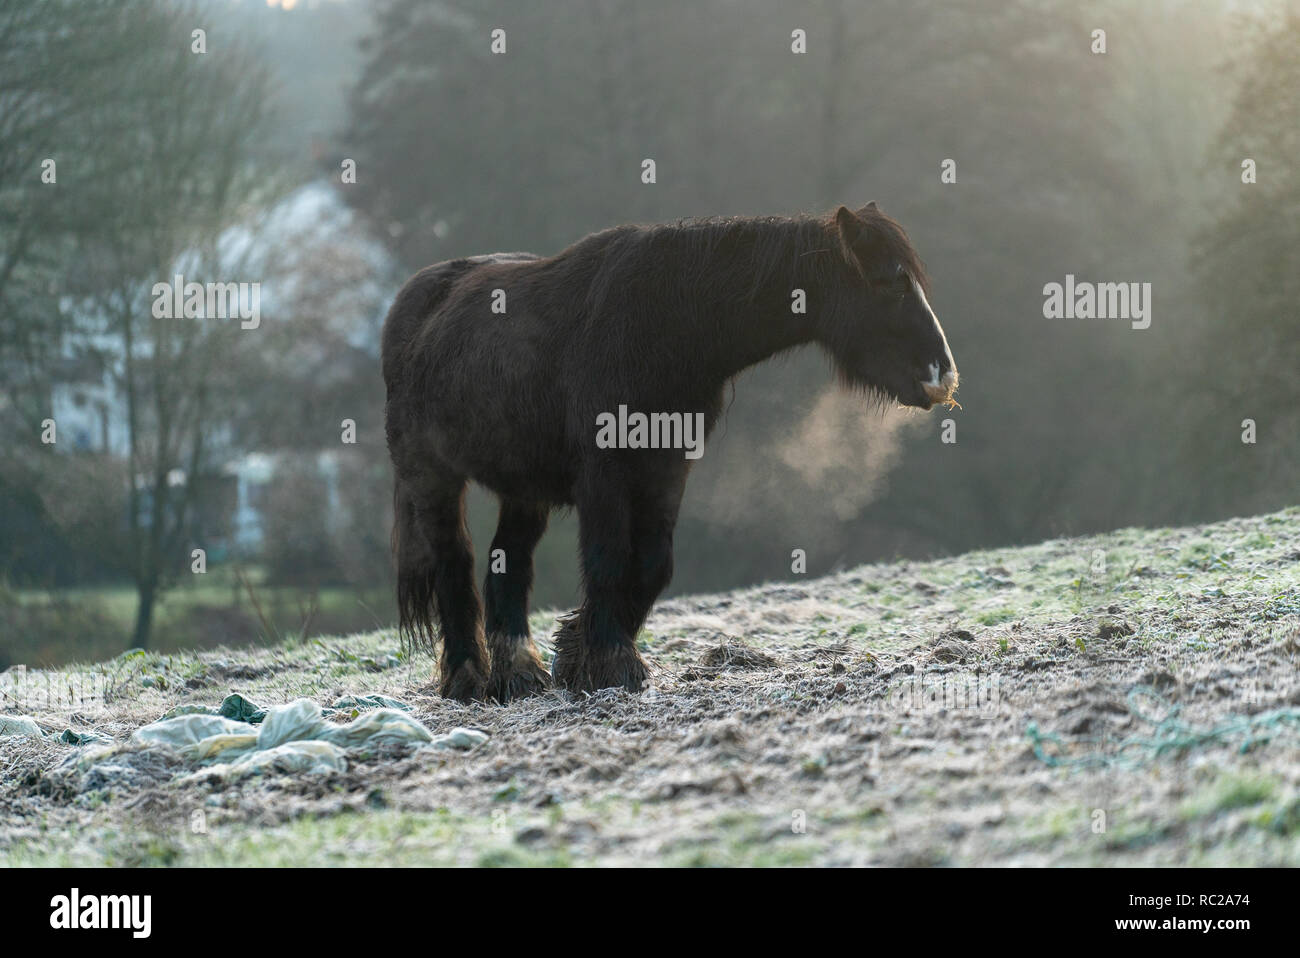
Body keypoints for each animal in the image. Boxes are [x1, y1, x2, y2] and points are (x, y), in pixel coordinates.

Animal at [379, 201, 961, 696]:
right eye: (889, 285)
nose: (942, 375)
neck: (665, 321)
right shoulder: (605, 472)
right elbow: (610, 558)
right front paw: (609, 663)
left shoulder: (667, 467)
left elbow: (655, 563)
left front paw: (580, 653)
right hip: (432, 477)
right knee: (454, 562)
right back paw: (468, 678)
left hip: (524, 490)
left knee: (509, 563)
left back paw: (519, 674)